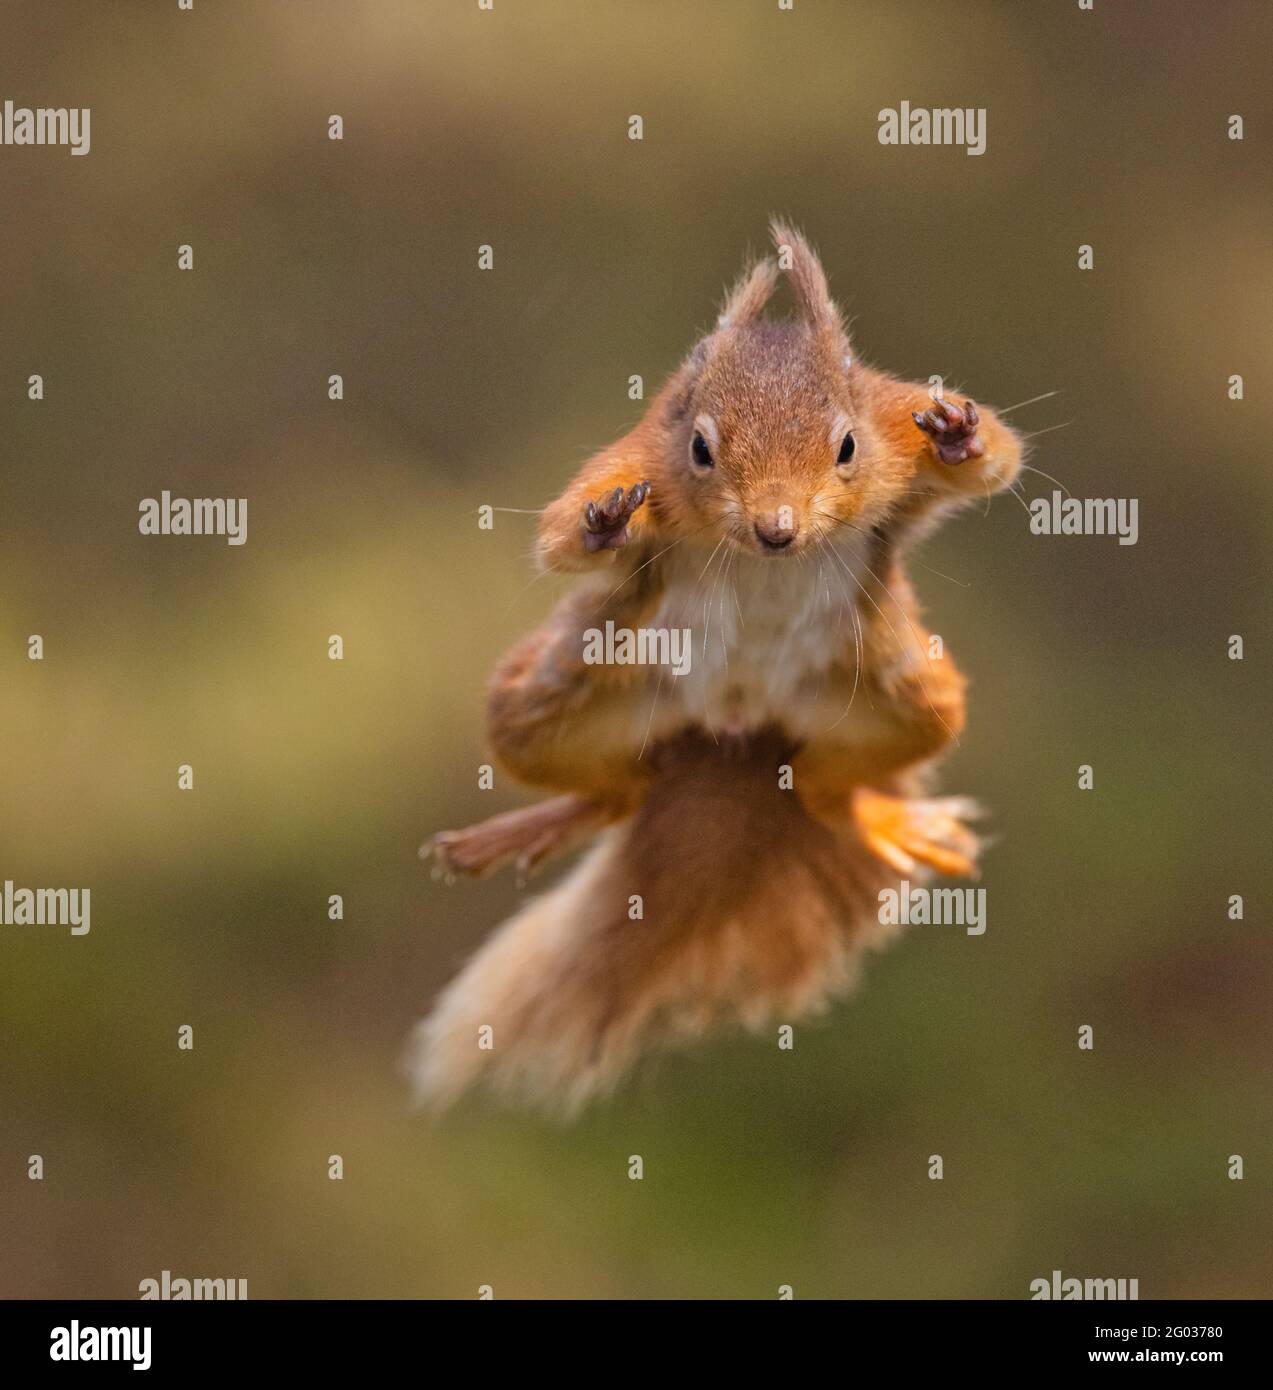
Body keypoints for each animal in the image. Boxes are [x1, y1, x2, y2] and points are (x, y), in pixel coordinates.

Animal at [408, 225, 1022, 1117]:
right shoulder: (640, 454)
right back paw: (536, 824)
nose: (776, 529)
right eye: (699, 447)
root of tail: (738, 731)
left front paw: (958, 435)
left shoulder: (890, 422)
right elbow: (558, 536)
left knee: (824, 790)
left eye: (845, 446)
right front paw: (601, 523)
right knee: (613, 791)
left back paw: (882, 818)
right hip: (553, 699)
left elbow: (998, 461)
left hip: (906, 700)